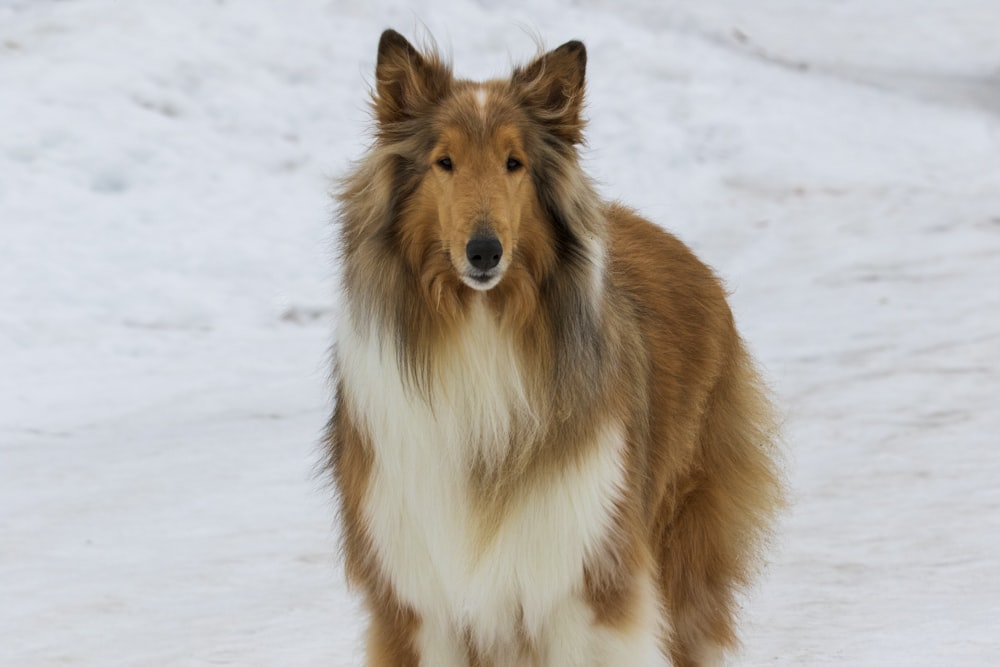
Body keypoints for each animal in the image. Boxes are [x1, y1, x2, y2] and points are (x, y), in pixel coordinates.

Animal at [326, 28, 780, 664]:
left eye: (514, 163)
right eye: (445, 162)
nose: (484, 252)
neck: (480, 332)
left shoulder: (581, 581)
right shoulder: (419, 600)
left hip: (683, 537)